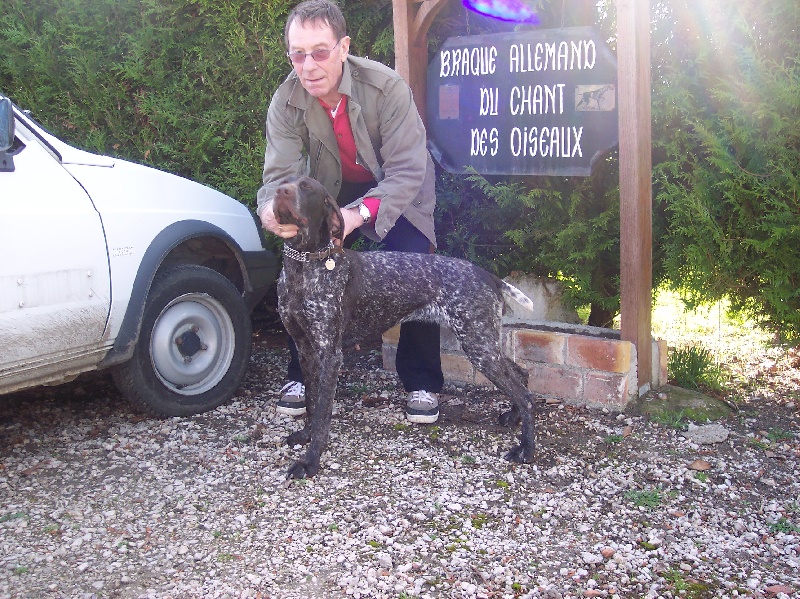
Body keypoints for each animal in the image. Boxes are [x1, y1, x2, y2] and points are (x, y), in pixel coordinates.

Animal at [274, 176, 536, 480]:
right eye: (283, 182)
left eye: (307, 187)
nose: (280, 191)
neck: (304, 267)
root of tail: (486, 275)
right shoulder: (305, 349)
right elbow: (311, 402)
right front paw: (304, 435)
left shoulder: (330, 354)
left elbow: (322, 414)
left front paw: (310, 461)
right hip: (485, 344)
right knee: (521, 374)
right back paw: (513, 416)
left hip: (479, 346)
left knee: (526, 395)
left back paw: (526, 449)